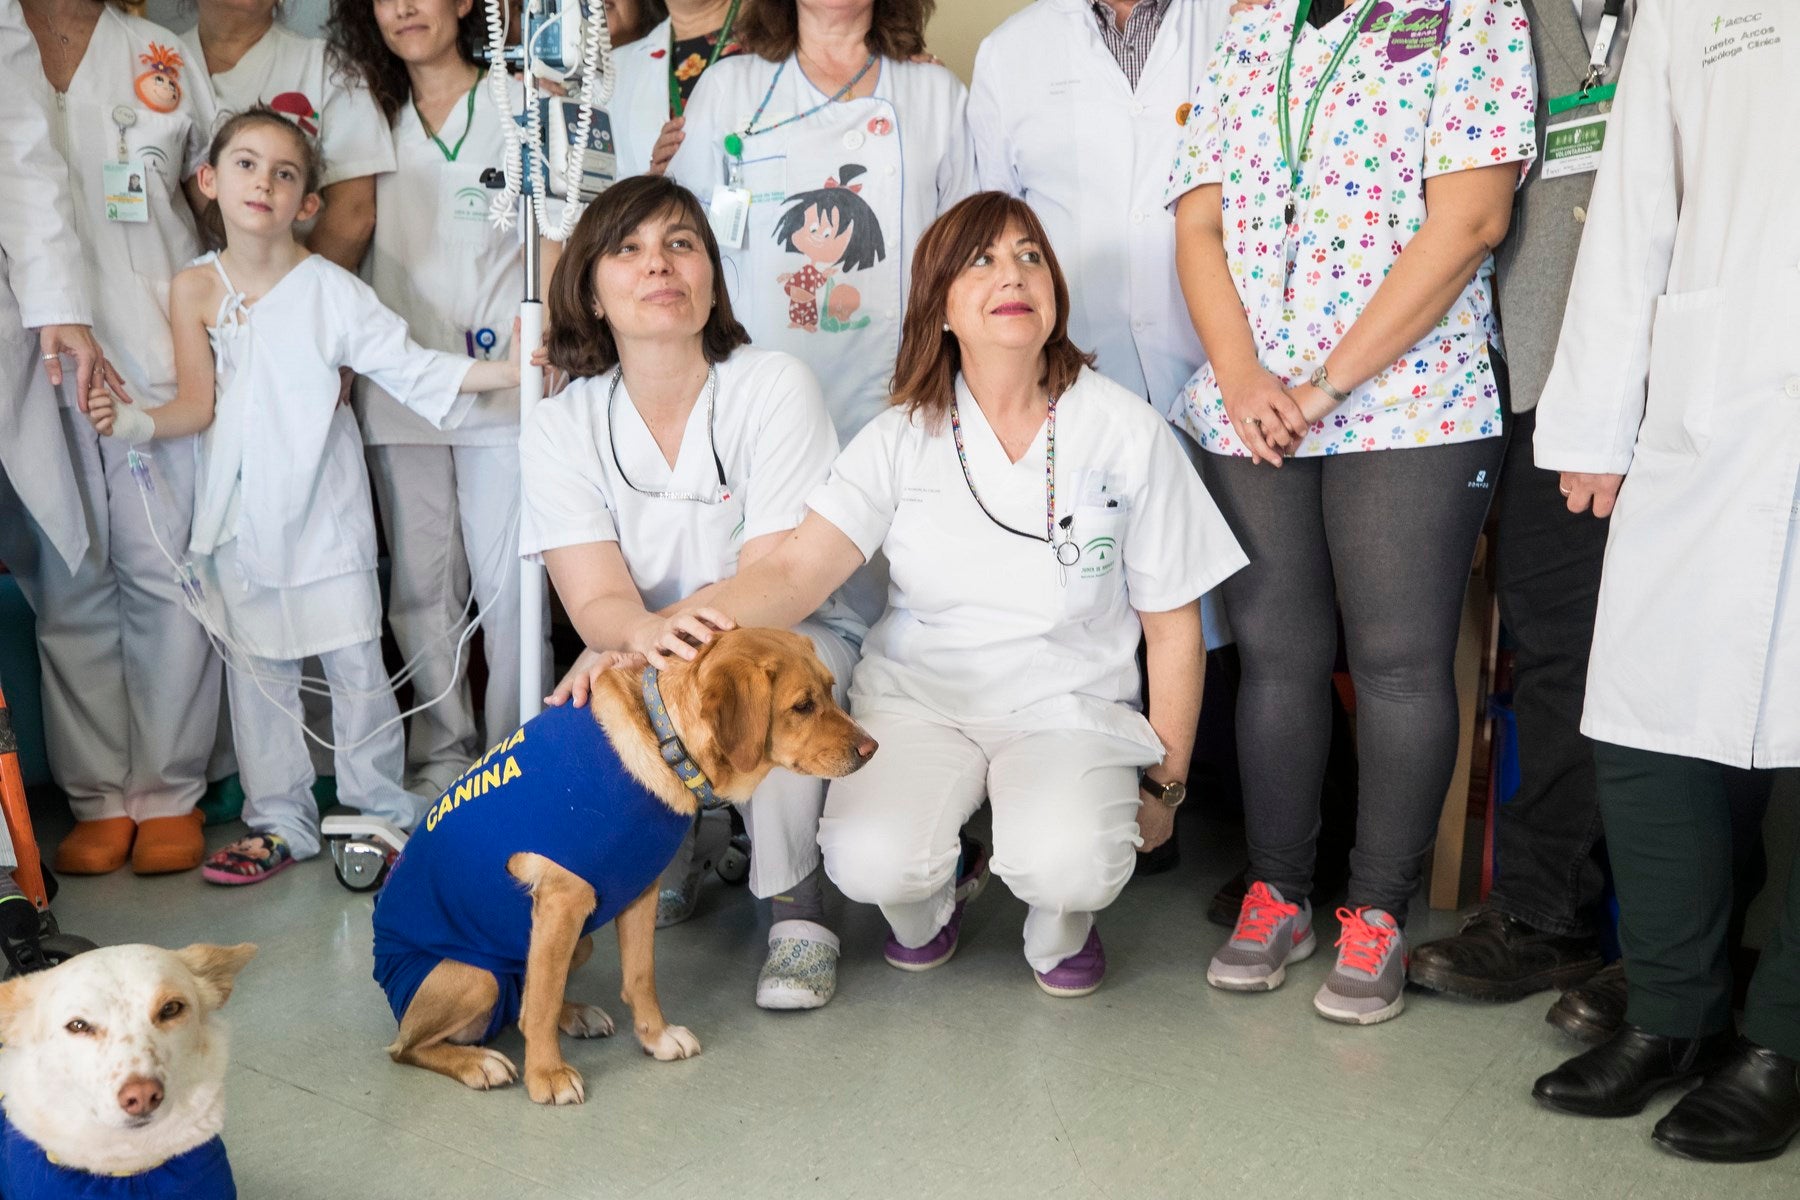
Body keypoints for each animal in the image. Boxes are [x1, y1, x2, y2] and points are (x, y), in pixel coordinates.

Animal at [387, 629, 878, 1108]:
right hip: (480, 976)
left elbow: (639, 977)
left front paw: (656, 1038)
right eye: (803, 705)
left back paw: (575, 1015)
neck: (667, 743)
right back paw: (478, 1062)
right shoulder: (562, 901)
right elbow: (542, 1003)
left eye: (832, 691)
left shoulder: (638, 889)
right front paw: (547, 1075)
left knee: (518, 1005)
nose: (872, 748)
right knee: (410, 1046)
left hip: (575, 942)